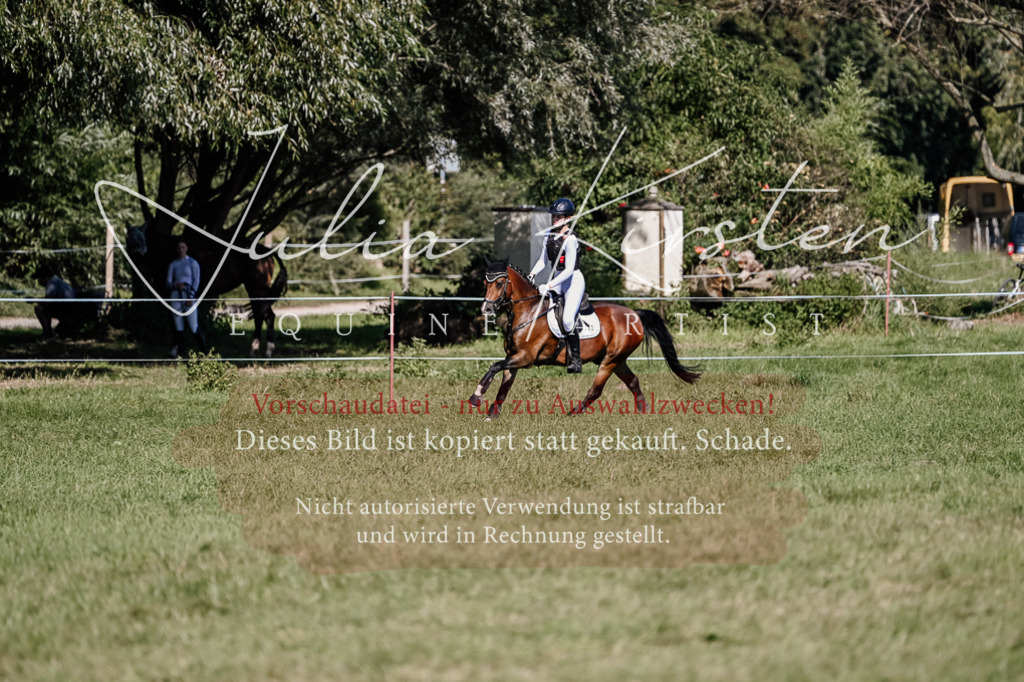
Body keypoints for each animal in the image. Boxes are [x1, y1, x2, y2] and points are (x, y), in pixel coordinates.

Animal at [126, 222, 288, 356]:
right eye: (129, 239)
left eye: (141, 238)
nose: (137, 255)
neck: (166, 251)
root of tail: (265, 249)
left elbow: (174, 322)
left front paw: (174, 350)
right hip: (253, 289)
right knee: (260, 316)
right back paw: (255, 350)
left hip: (257, 288)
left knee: (267, 316)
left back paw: (266, 351)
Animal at [467, 257, 700, 418]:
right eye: (485, 283)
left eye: (499, 283)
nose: (486, 309)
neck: (528, 312)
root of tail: (634, 314)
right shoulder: (515, 357)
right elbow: (504, 385)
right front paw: (492, 414)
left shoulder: (526, 357)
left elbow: (494, 367)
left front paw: (476, 396)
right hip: (617, 360)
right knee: (633, 382)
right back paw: (643, 412)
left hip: (610, 361)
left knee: (596, 390)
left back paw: (571, 414)